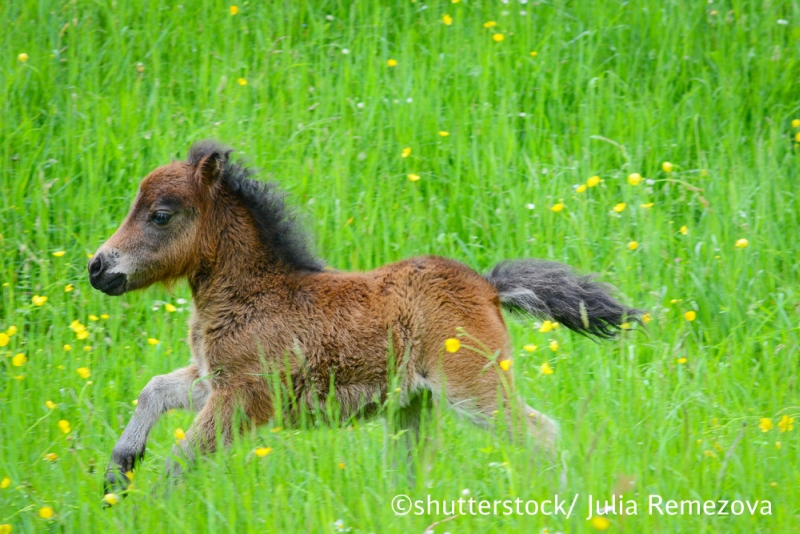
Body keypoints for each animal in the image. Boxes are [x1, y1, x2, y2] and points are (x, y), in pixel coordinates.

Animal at [89, 140, 636, 496]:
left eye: (160, 214)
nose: (98, 268)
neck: (254, 292)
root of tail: (486, 287)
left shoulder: (243, 396)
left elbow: (182, 459)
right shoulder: (215, 381)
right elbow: (154, 390)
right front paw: (118, 473)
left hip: (474, 389)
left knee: (541, 434)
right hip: (415, 405)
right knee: (410, 472)